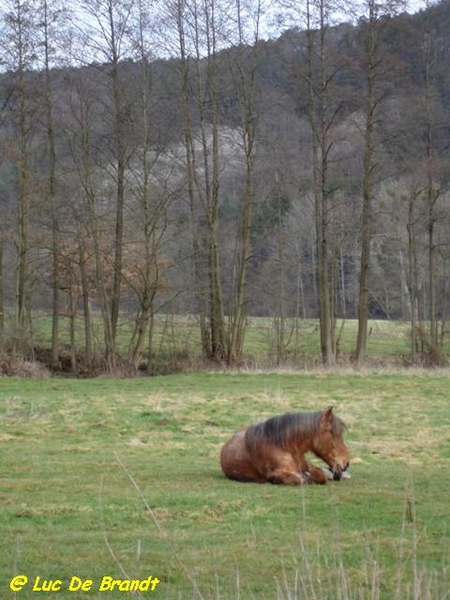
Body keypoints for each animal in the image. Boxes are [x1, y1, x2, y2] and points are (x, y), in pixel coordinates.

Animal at [220, 406, 350, 486]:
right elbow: (302, 479)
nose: (346, 463)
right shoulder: (279, 474)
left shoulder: (307, 467)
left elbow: (321, 475)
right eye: (332, 434)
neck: (285, 447)